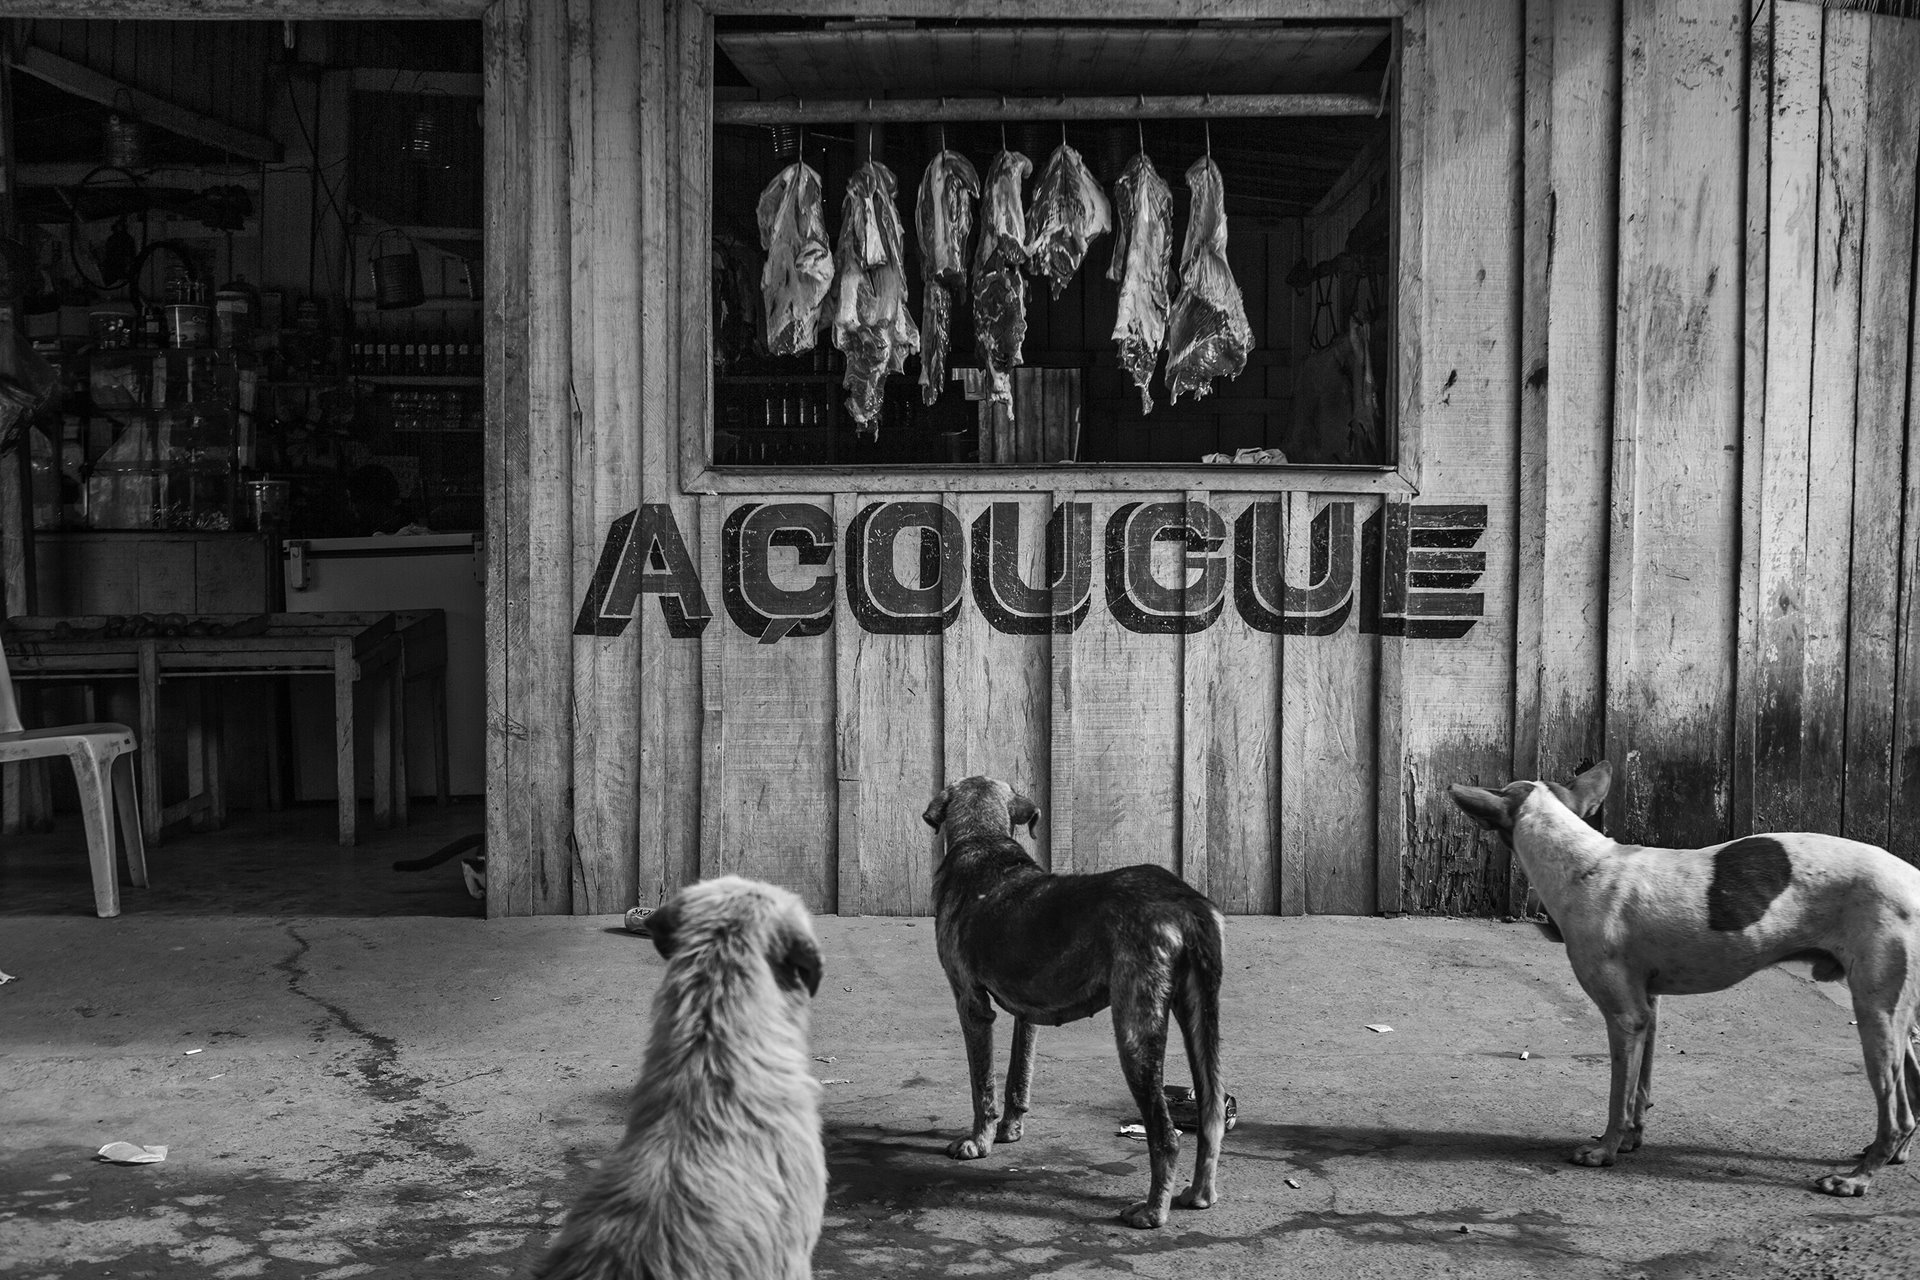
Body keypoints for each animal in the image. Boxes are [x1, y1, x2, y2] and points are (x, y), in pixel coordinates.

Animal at [917, 775, 1221, 1228]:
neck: (983, 838)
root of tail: (1187, 903)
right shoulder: (1027, 1012)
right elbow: (1017, 1078)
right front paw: (1011, 1131)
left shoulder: (971, 1005)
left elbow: (982, 1087)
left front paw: (978, 1142)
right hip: (1201, 1017)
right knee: (1212, 1112)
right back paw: (1199, 1194)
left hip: (1135, 1031)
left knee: (1166, 1136)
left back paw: (1152, 1211)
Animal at [1451, 756, 1920, 1197]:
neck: (1585, 864)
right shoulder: (1648, 1009)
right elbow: (1640, 1088)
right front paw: (1631, 1140)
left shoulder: (1625, 1017)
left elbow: (1618, 1097)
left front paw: (1605, 1150)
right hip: (1893, 1015)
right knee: (1912, 1096)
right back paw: (1892, 1156)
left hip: (1875, 1011)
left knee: (1897, 1112)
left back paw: (1858, 1179)